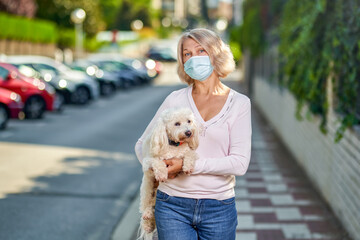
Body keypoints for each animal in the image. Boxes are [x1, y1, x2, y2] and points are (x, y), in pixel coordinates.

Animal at [138, 108, 200, 239]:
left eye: (189, 121)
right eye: (177, 123)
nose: (188, 132)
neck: (175, 145)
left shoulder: (188, 152)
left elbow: (189, 154)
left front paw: (187, 166)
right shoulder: (148, 162)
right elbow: (158, 162)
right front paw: (162, 174)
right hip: (147, 187)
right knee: (146, 205)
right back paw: (147, 217)